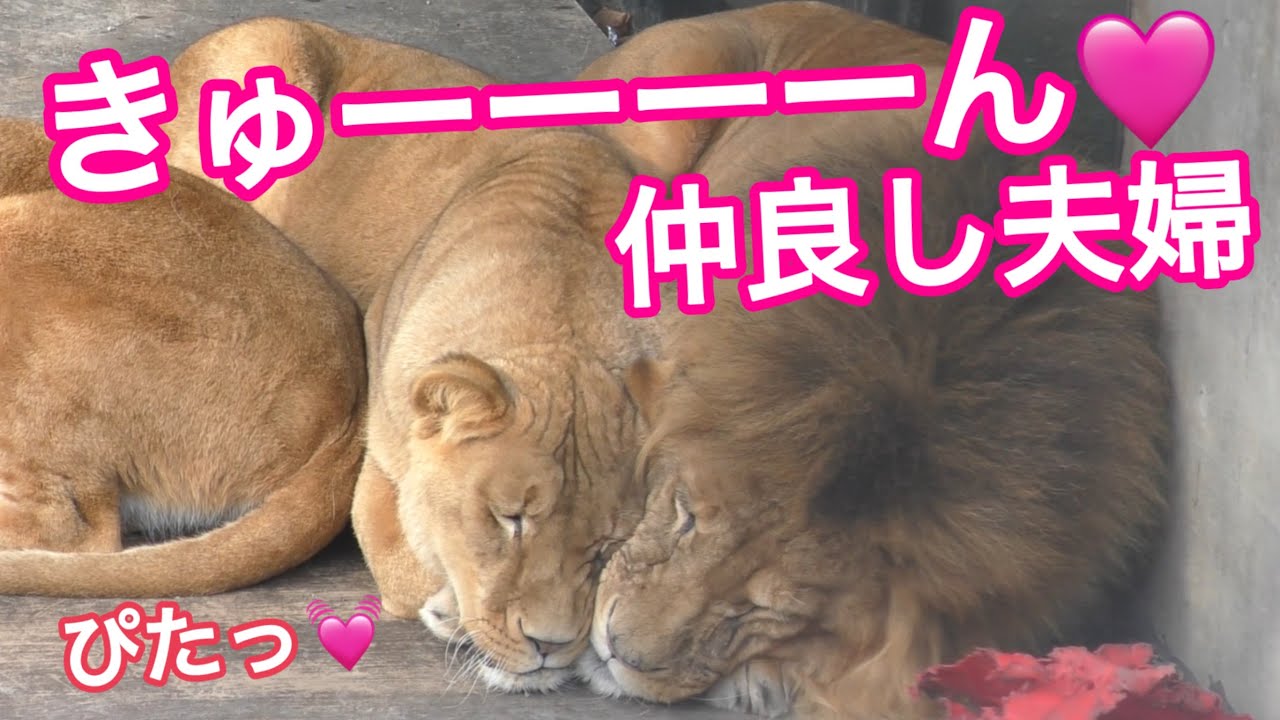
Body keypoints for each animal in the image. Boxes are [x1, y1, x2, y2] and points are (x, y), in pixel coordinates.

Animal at [165, 18, 664, 691]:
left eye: (605, 546)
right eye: (508, 518)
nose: (550, 645)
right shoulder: (377, 471)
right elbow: (412, 565)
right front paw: (453, 609)